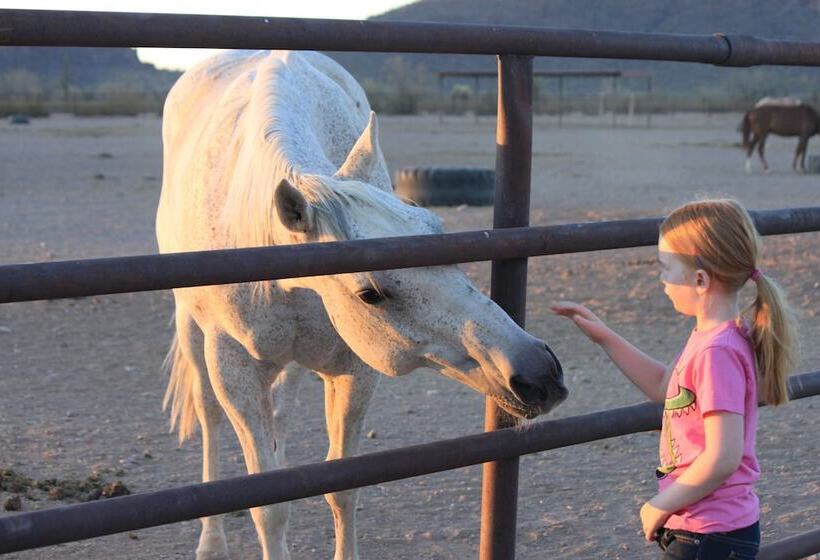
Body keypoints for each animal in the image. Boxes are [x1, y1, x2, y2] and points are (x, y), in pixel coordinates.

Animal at [156, 50, 567, 560]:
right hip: (192, 330)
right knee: (209, 417)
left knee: (280, 414)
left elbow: (343, 485)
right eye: (370, 293)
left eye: (435, 229)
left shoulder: (355, 370)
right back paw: (212, 542)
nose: (539, 373)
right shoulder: (234, 370)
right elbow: (268, 506)